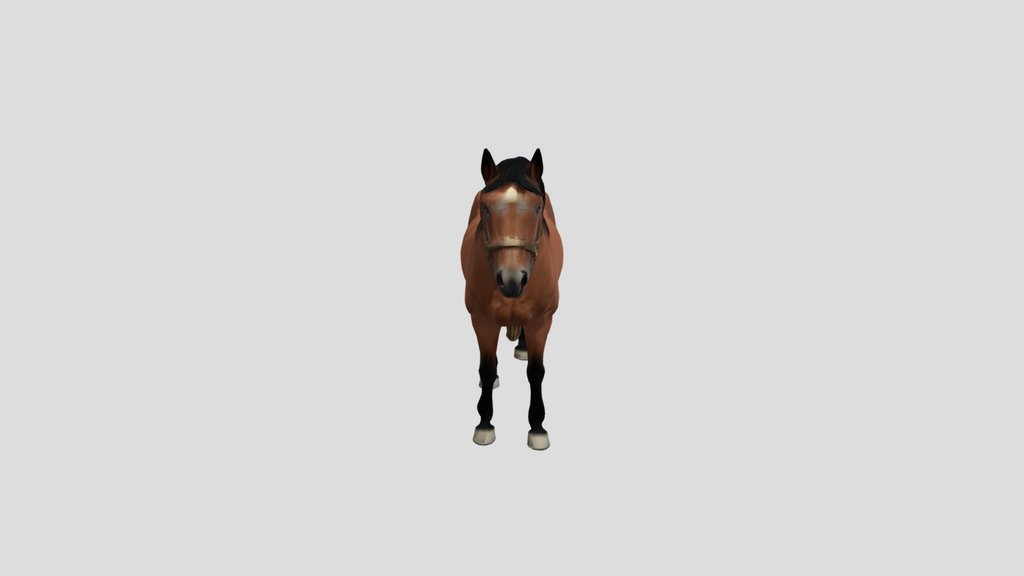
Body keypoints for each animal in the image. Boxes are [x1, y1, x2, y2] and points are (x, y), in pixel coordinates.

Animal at [460, 148, 564, 450]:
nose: (512, 279)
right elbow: (486, 367)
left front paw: (537, 428)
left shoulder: (542, 320)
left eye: (538, 208)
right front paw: (484, 424)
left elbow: (536, 372)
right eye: (485, 208)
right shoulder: (481, 319)